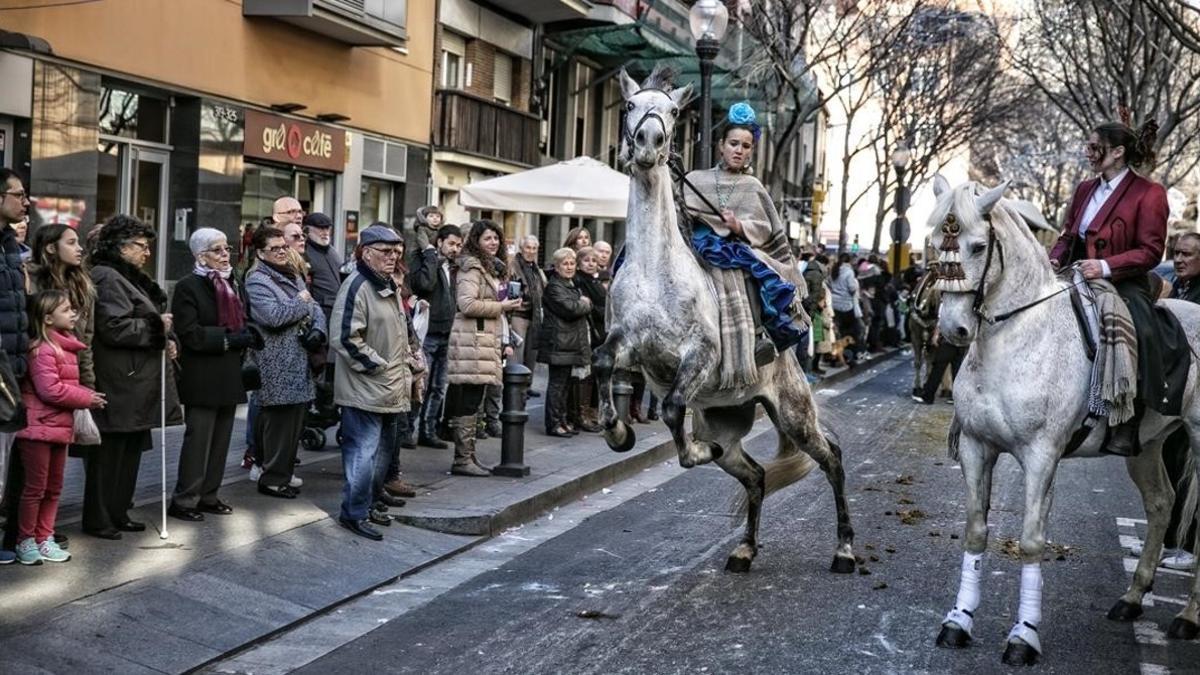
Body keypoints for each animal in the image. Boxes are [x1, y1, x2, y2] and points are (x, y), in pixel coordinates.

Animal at [926, 174, 1200, 662]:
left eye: (978, 246)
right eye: (934, 241)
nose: (952, 329)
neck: (1014, 339)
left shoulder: (1041, 456)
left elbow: (1032, 542)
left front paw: (1023, 637)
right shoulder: (978, 448)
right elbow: (975, 531)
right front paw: (959, 621)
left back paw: (1187, 617)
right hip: (1146, 446)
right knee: (1161, 503)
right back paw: (1132, 598)